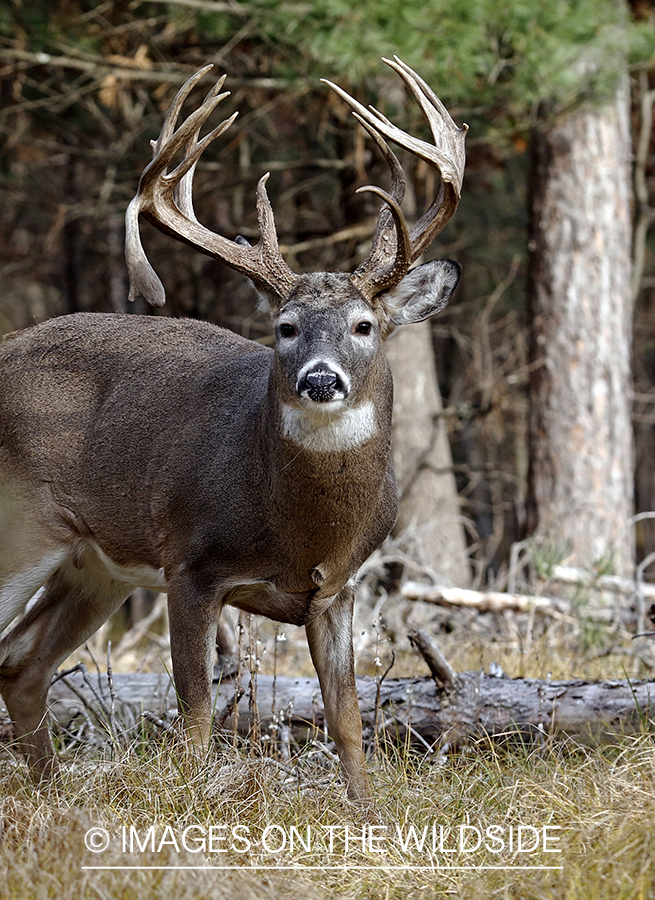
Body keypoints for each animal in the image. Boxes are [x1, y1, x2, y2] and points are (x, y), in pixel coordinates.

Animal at [0, 56, 466, 800]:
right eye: (285, 326)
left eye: (365, 325)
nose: (321, 380)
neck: (295, 527)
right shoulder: (191, 564)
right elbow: (193, 720)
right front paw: (187, 811)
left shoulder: (337, 589)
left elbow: (348, 723)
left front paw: (369, 815)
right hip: (23, 526)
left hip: (94, 563)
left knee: (20, 662)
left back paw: (53, 794)